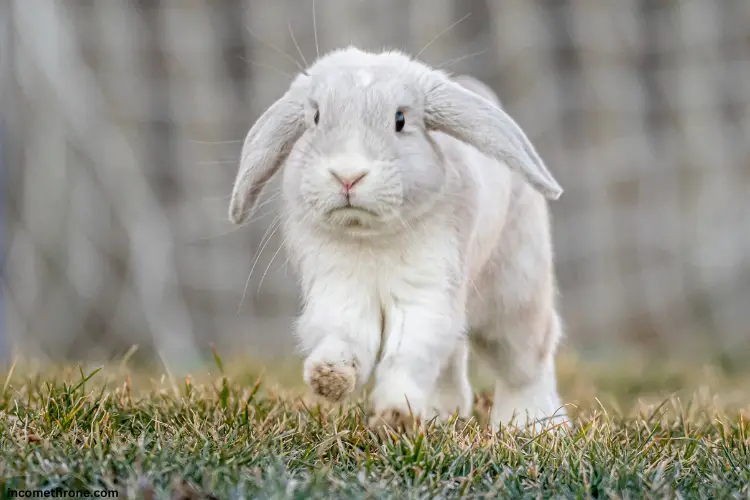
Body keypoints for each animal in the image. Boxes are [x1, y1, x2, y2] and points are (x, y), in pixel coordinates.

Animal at [229, 45, 568, 432]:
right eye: (315, 117)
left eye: (400, 120)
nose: (348, 176)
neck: (370, 237)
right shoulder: (338, 293)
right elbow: (344, 337)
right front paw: (329, 378)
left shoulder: (426, 295)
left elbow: (409, 351)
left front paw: (395, 413)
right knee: (454, 357)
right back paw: (441, 414)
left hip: (516, 294)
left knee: (526, 363)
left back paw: (532, 425)